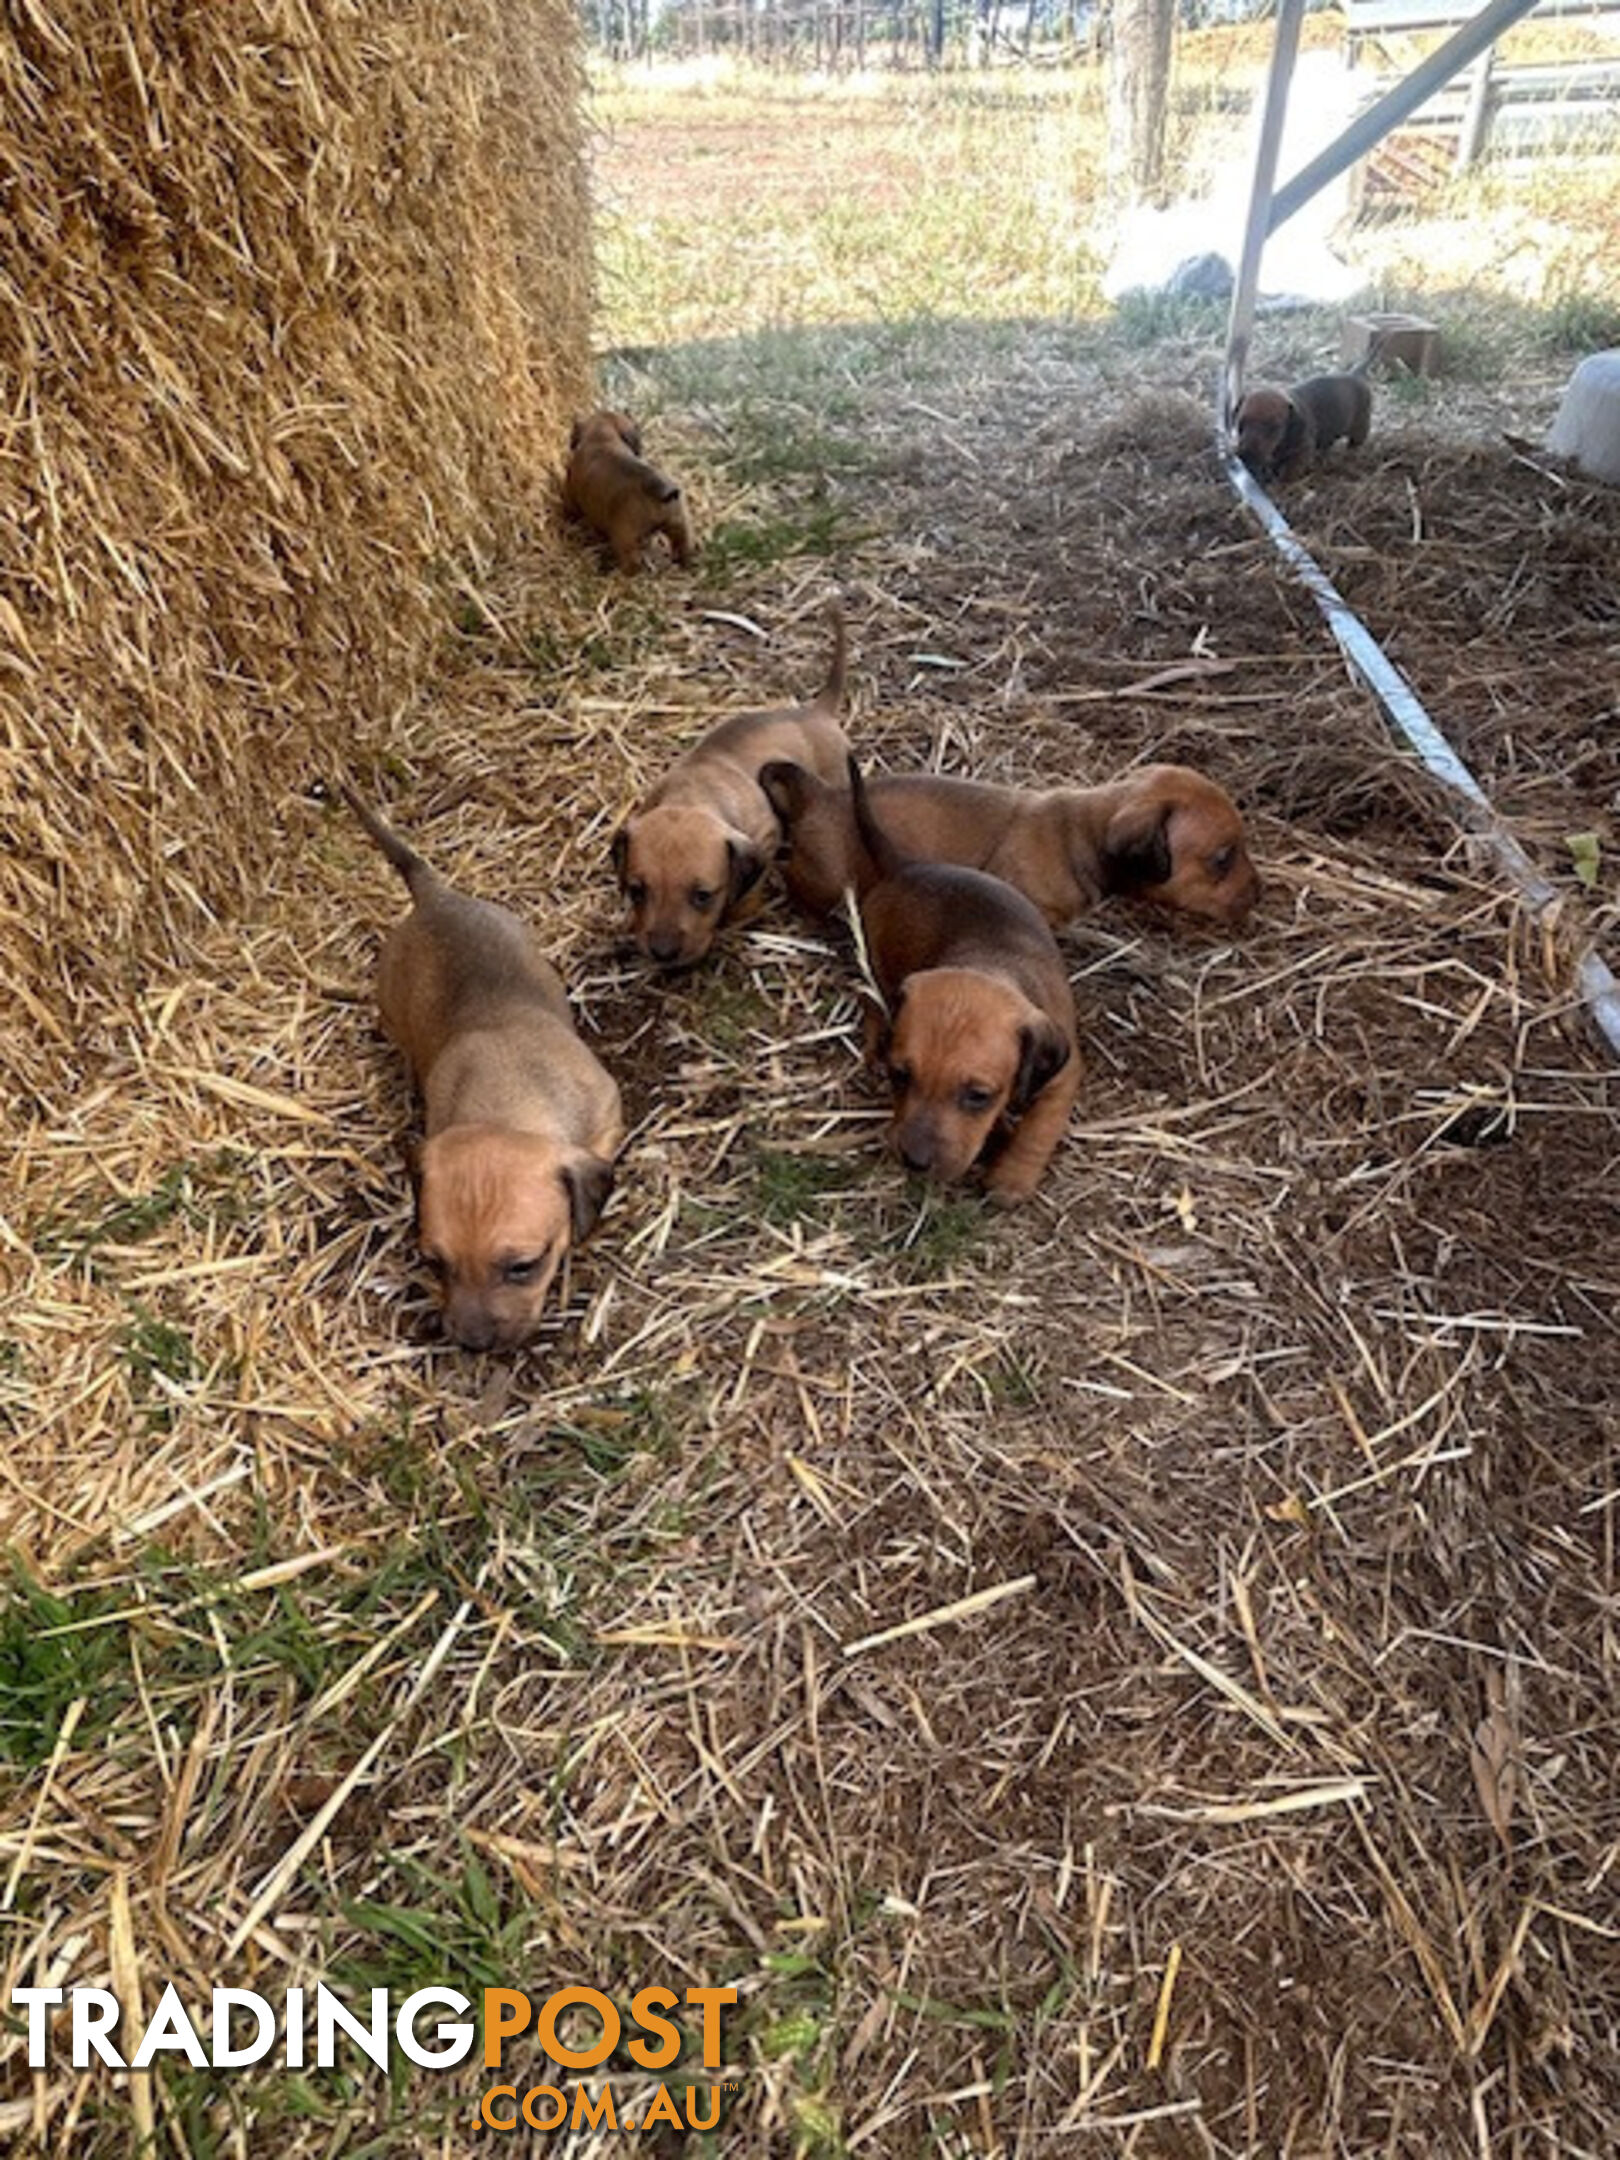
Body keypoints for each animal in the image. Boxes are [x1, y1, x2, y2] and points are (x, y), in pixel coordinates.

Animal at [343, 777, 622, 1347]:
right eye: (434, 1263)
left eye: (523, 1267)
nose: (472, 1345)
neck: (506, 1101)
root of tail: (435, 896)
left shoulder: (608, 1112)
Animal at [565, 410, 699, 574]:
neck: (602, 437)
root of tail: (661, 490)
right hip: (679, 525)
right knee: (683, 547)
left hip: (625, 539)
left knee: (632, 564)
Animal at [613, 609, 855, 980]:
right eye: (637, 891)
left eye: (703, 896)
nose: (663, 954)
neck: (692, 794)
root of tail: (818, 711)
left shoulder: (765, 838)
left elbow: (750, 888)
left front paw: (740, 914)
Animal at [842, 760, 1084, 1209]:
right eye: (901, 1076)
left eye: (978, 1096)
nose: (914, 1161)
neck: (989, 965)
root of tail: (905, 866)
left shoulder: (1064, 1072)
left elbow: (1039, 1127)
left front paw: (1011, 1176)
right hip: (874, 954)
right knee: (871, 999)